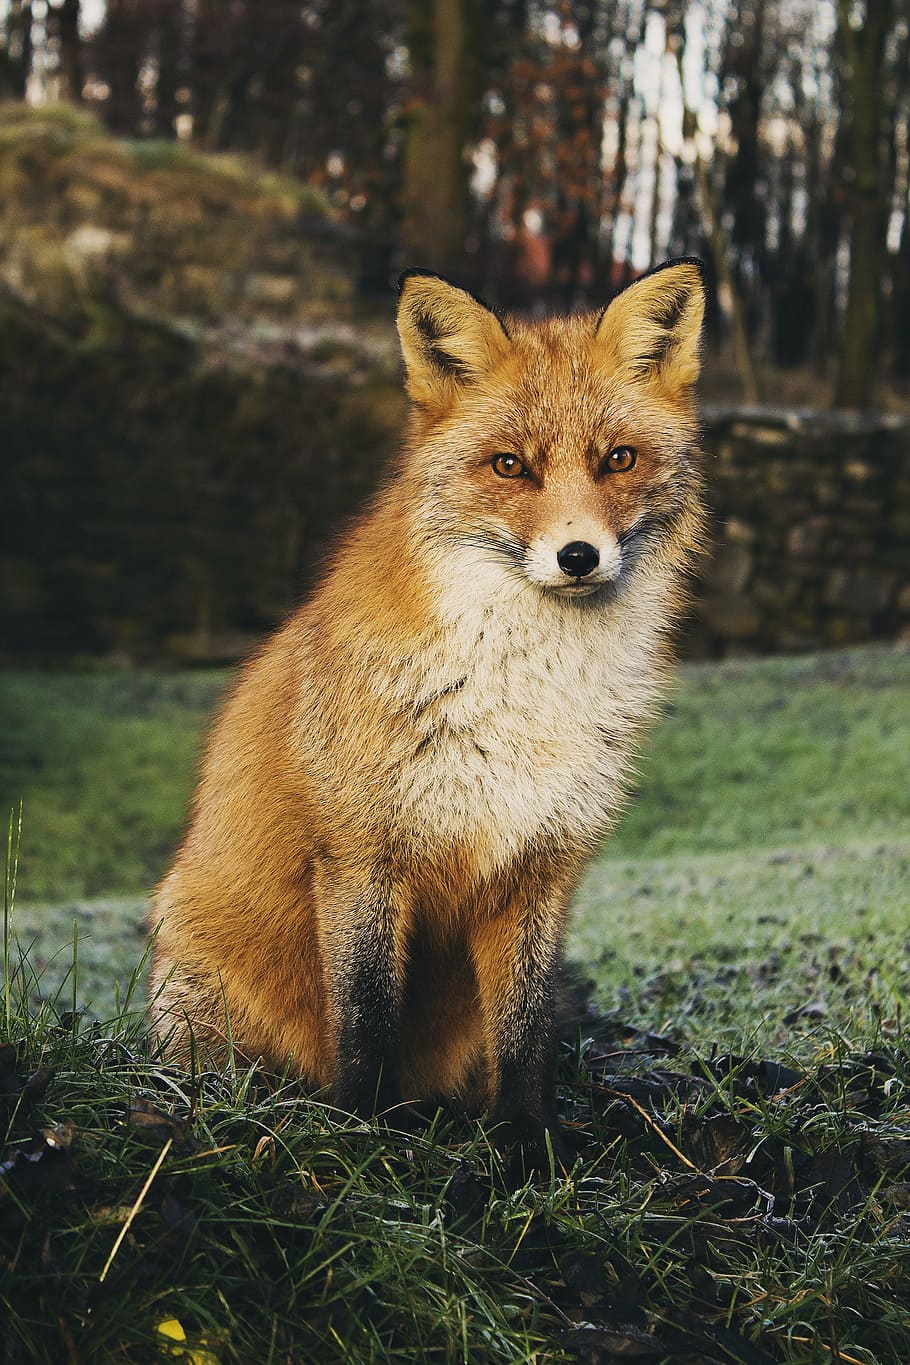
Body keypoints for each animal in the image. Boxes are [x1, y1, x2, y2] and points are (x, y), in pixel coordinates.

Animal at [148, 257, 707, 1160]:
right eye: (510, 466)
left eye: (618, 459)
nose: (578, 555)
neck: (523, 696)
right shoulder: (362, 855)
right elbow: (367, 1018)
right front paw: (366, 1134)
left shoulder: (540, 866)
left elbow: (526, 1033)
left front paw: (528, 1145)